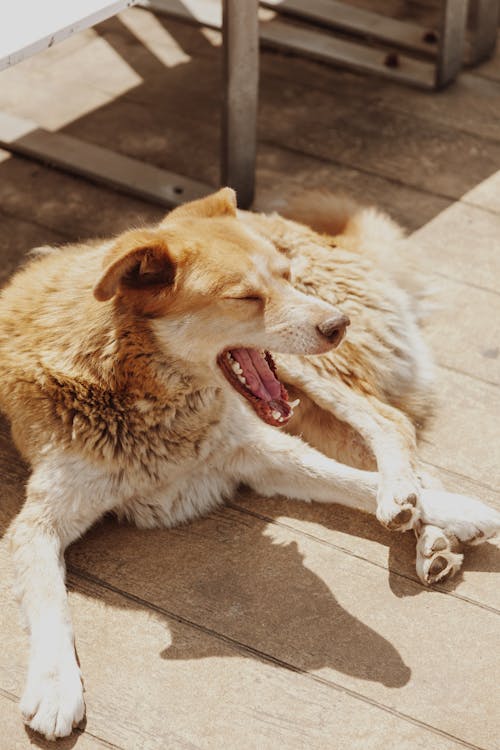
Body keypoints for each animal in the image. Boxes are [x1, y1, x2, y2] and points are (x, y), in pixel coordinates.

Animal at [1, 189, 498, 740]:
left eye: (284, 276)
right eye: (243, 298)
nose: (338, 324)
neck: (140, 384)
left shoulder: (259, 451)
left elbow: (352, 482)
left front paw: (453, 510)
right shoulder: (37, 523)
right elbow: (51, 602)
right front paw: (54, 688)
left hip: (309, 372)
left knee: (390, 422)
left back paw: (414, 508)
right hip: (313, 402)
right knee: (397, 437)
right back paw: (432, 538)